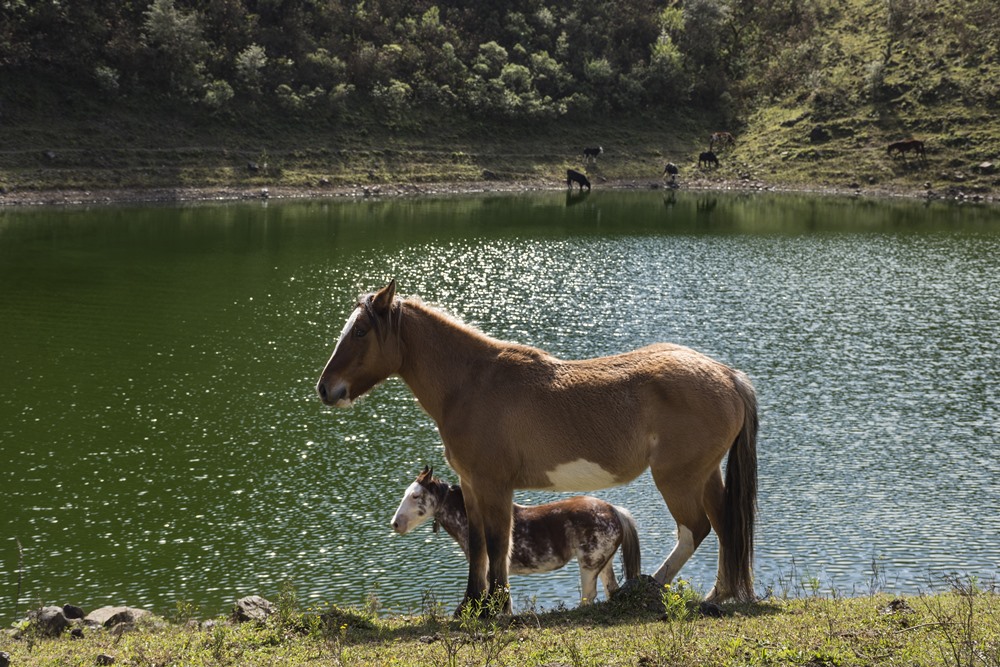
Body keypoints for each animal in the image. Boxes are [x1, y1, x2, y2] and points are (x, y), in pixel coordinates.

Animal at [318, 282, 756, 616]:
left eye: (360, 331)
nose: (325, 388)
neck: (472, 383)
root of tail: (728, 375)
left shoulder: (494, 485)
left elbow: (498, 544)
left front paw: (496, 607)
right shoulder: (472, 485)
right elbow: (479, 545)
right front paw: (469, 607)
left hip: (677, 478)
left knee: (696, 528)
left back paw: (647, 589)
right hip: (704, 475)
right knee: (725, 525)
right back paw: (718, 594)